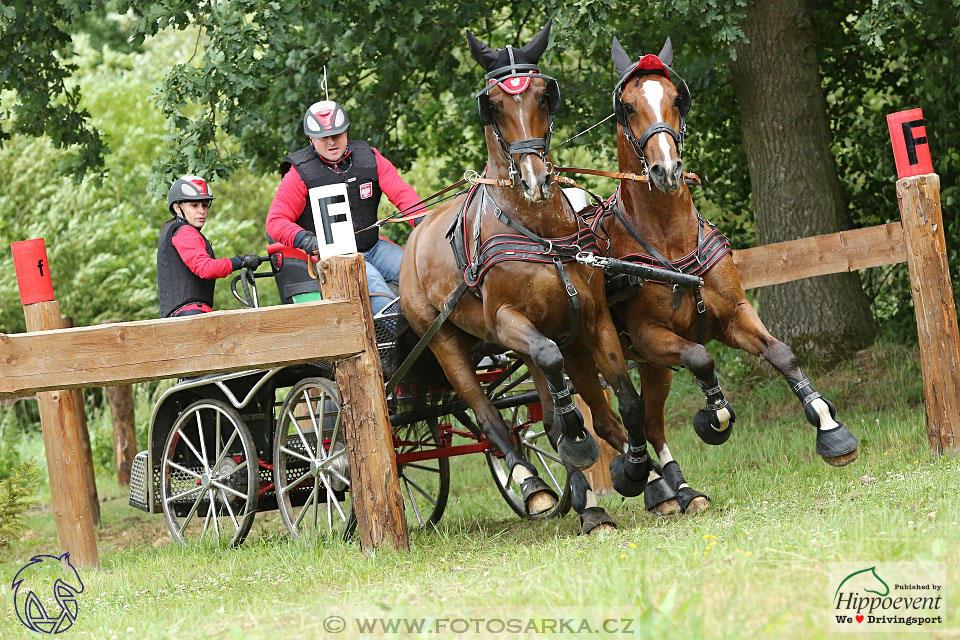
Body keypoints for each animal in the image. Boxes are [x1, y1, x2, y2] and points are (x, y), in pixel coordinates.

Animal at [402, 21, 656, 536]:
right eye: (495, 105)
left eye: (543, 95)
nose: (536, 178)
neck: (538, 230)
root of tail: (411, 239)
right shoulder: (507, 322)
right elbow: (556, 401)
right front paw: (577, 449)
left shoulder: (593, 318)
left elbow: (627, 401)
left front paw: (636, 470)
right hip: (446, 344)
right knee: (490, 418)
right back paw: (534, 485)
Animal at [600, 36, 864, 516]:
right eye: (627, 107)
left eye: (676, 99)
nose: (666, 171)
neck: (670, 239)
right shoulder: (649, 335)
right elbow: (702, 359)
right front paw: (714, 418)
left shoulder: (732, 316)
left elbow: (782, 354)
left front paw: (830, 428)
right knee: (590, 423)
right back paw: (627, 484)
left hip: (651, 366)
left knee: (650, 421)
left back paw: (680, 491)